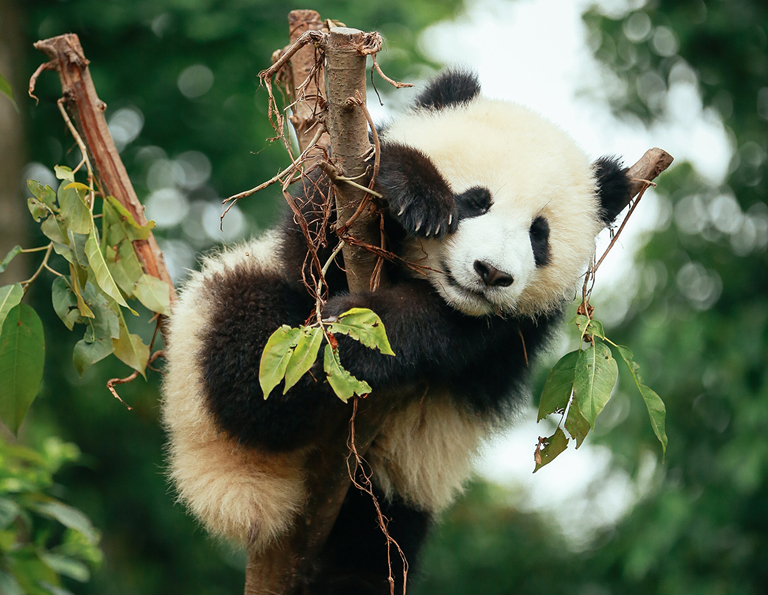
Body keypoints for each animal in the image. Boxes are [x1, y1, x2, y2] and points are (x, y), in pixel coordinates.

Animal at [160, 71, 632, 595]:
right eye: (476, 201)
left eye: (539, 235)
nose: (491, 273)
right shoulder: (318, 221)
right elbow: (317, 235)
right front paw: (412, 189)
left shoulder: (517, 329)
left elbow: (457, 332)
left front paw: (362, 331)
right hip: (213, 358)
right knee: (250, 369)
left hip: (394, 493)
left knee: (367, 554)